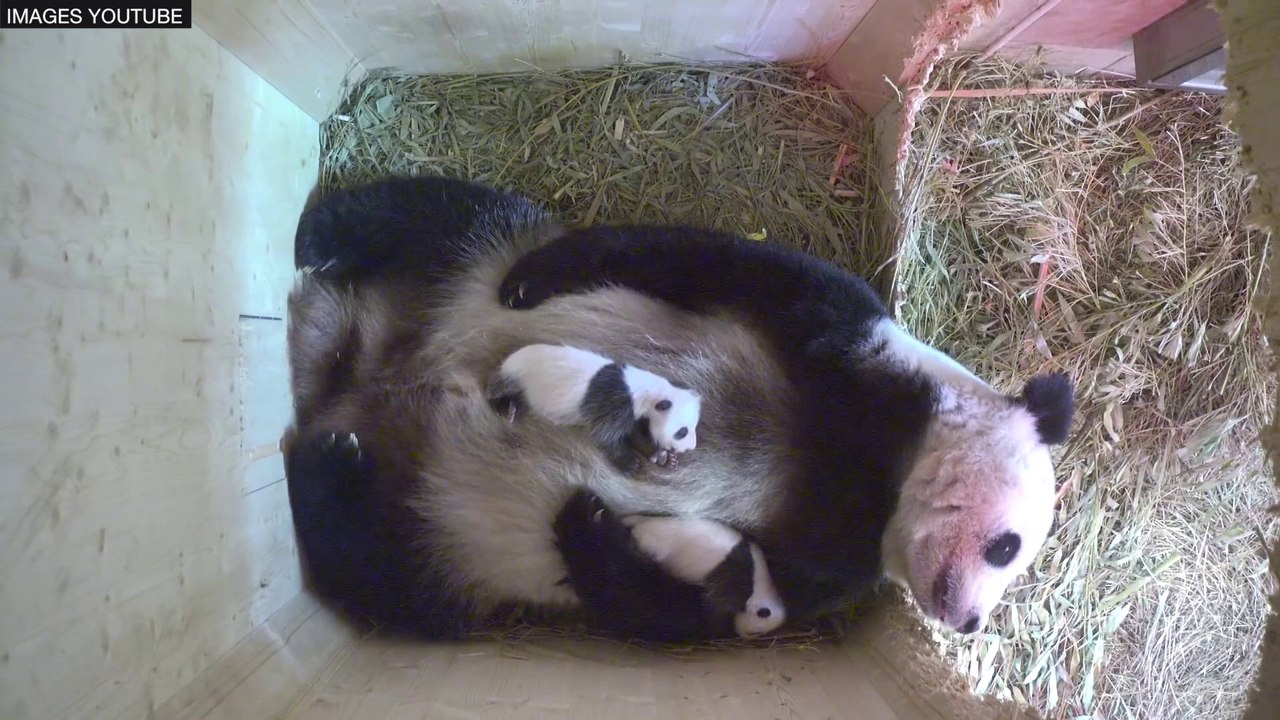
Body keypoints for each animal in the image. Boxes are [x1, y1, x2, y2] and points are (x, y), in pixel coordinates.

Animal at [488, 343, 702, 471]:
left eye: (693, 428)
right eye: (682, 431)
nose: (691, 447)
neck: (648, 390)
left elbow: (636, 432)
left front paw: (662, 458)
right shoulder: (615, 402)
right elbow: (605, 434)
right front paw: (631, 462)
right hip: (517, 374)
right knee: (501, 387)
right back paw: (507, 409)